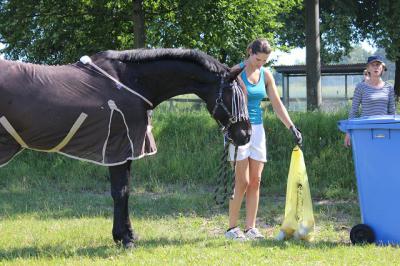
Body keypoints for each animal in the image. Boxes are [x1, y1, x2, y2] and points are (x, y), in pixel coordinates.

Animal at [0, 48, 250, 249]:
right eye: (235, 96)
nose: (245, 135)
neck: (130, 82)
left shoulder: (123, 151)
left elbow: (123, 191)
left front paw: (122, 235)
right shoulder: (119, 149)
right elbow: (121, 192)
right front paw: (126, 238)